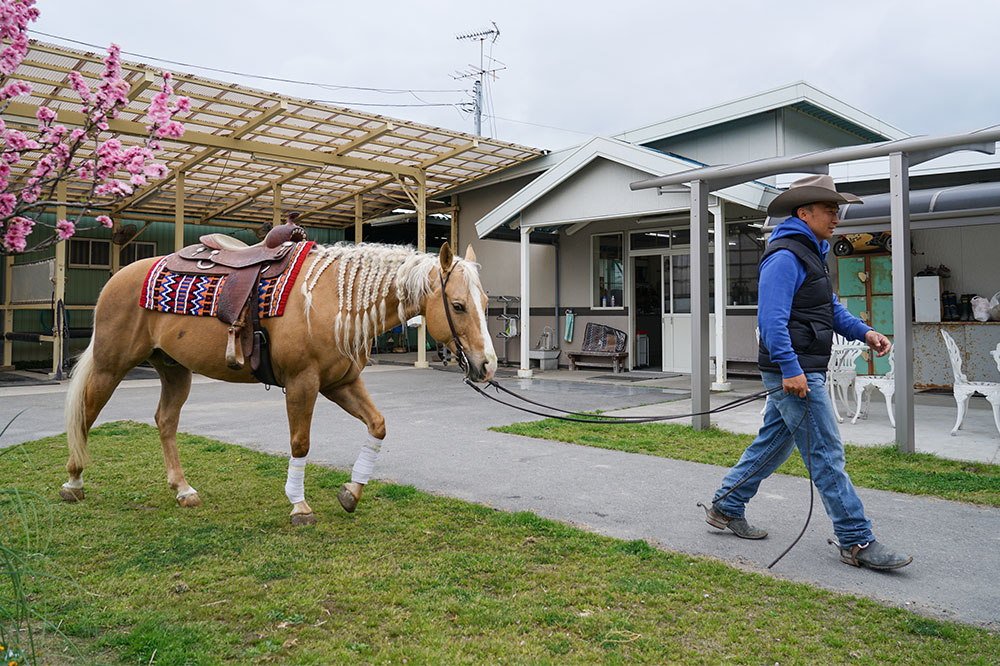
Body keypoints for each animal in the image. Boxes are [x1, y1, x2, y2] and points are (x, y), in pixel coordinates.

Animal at [62, 241, 496, 520]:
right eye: (458, 306)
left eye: (486, 303)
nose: (488, 365)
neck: (332, 299)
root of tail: (117, 278)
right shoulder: (303, 383)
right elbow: (300, 443)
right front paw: (299, 505)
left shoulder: (341, 382)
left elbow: (378, 425)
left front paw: (351, 493)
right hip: (111, 364)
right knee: (86, 412)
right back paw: (73, 482)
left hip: (173, 369)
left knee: (165, 421)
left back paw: (184, 490)